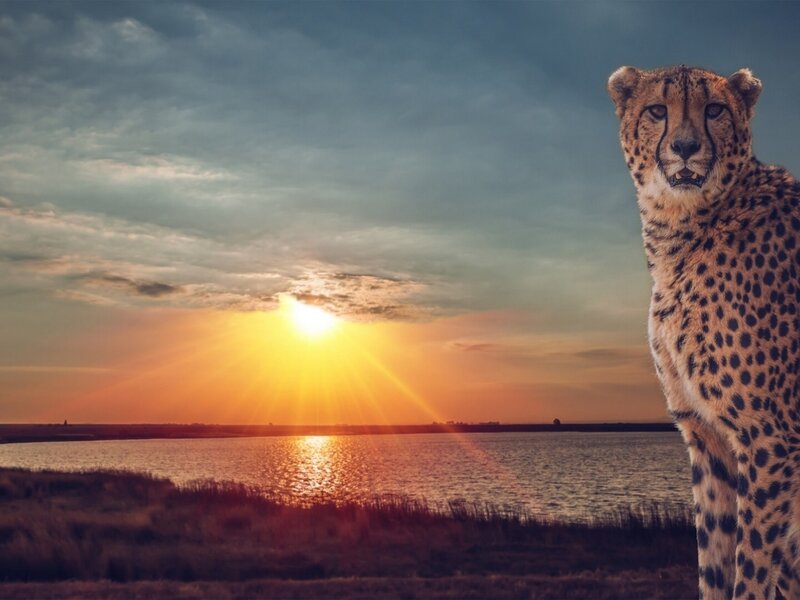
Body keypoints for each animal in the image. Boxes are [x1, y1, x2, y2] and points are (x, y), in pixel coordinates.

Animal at [608, 64, 800, 600]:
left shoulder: (769, 439)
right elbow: (714, 563)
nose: (686, 146)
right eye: (657, 110)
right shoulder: (706, 437)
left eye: (714, 109)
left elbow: (750, 571)